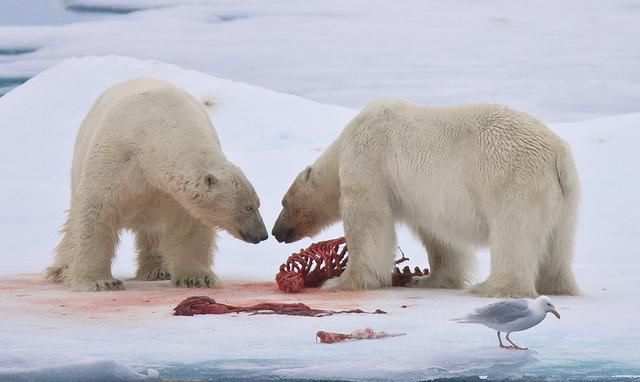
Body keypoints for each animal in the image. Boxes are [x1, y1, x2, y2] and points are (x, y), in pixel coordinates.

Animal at [47, 77, 268, 292]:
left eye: (257, 204)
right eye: (248, 207)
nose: (263, 234)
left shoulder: (173, 194)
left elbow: (189, 226)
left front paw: (196, 278)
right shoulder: (117, 160)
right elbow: (97, 212)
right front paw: (100, 282)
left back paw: (158, 270)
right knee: (74, 221)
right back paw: (60, 270)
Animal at [272, 101, 580, 298]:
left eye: (283, 204)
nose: (276, 232)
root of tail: (557, 153)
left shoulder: (368, 162)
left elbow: (368, 221)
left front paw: (340, 281)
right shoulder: (427, 200)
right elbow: (440, 238)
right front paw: (427, 279)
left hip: (513, 180)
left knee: (513, 234)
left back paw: (491, 288)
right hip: (564, 198)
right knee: (557, 245)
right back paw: (556, 286)